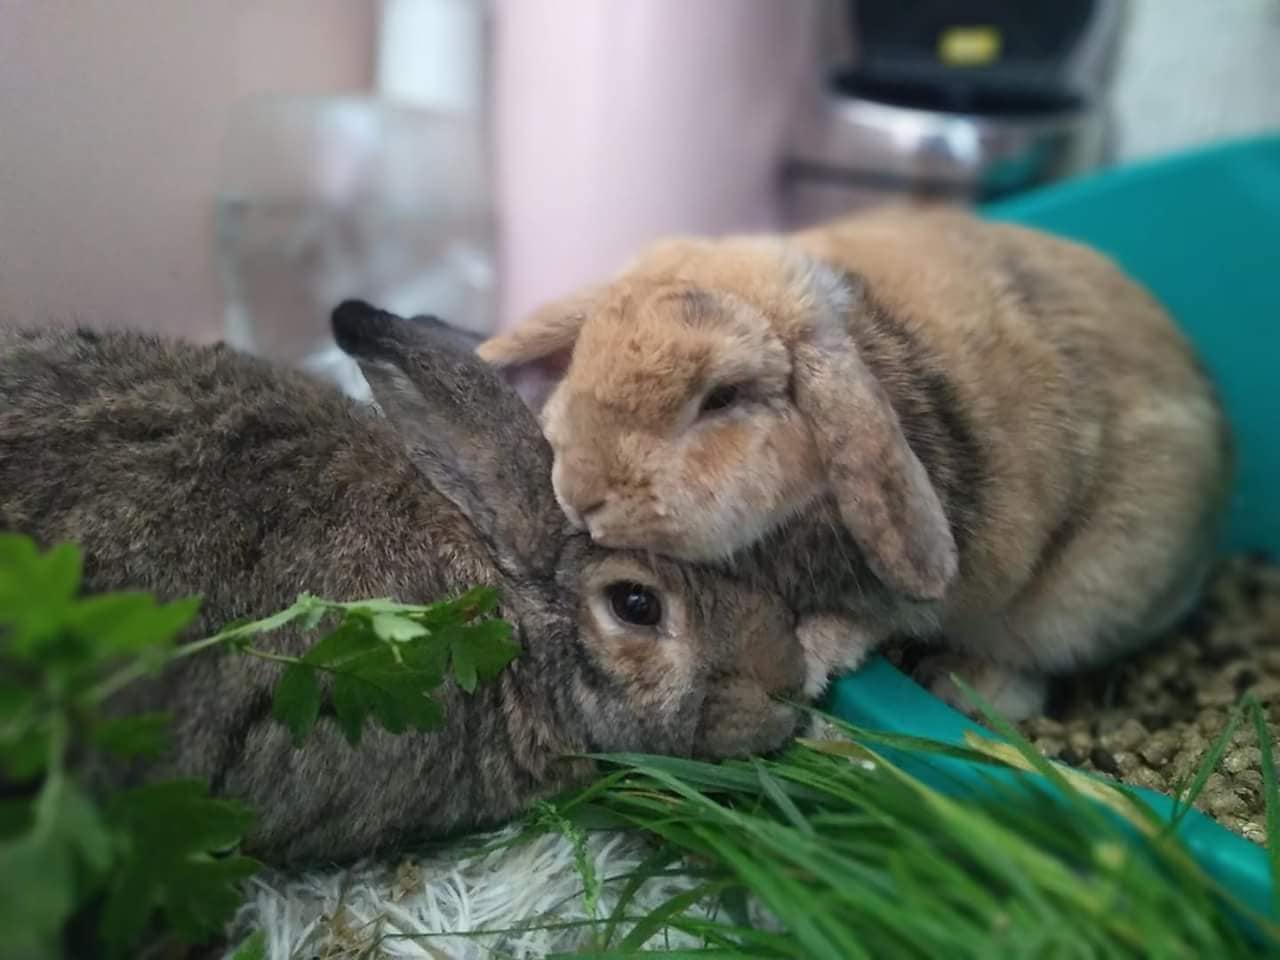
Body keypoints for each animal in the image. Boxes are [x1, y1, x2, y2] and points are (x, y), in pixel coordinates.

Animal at [476, 205, 1235, 720]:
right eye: (582, 354)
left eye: (721, 397)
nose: (581, 494)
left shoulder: (909, 594)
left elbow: (871, 621)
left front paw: (808, 658)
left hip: (1073, 607)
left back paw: (963, 687)